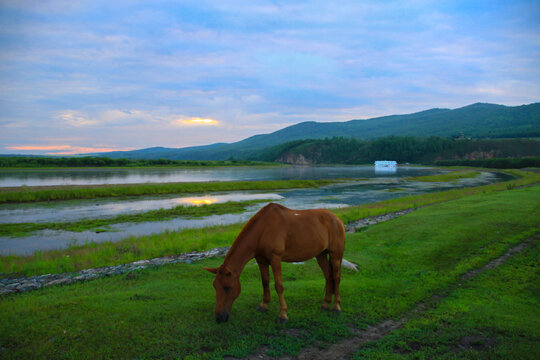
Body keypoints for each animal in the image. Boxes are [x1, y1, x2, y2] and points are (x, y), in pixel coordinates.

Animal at [202, 202, 346, 324]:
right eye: (215, 286)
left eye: (228, 287)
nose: (219, 317)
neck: (263, 230)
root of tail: (337, 219)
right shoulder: (261, 260)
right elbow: (265, 282)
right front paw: (263, 305)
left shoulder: (275, 259)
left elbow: (279, 286)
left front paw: (283, 315)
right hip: (321, 255)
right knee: (328, 276)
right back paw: (325, 304)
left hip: (335, 255)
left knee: (336, 278)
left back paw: (336, 307)